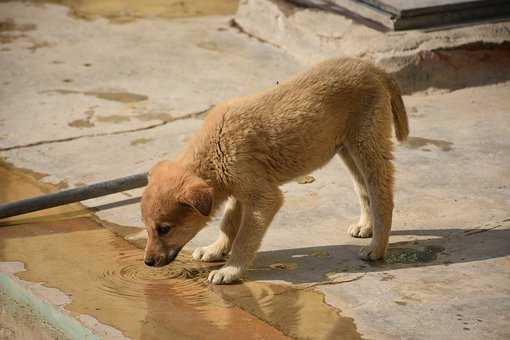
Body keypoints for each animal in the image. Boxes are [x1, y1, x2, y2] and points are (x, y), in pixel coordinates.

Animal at [141, 57, 408, 284]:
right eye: (147, 227)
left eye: (164, 229)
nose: (148, 263)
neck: (215, 151)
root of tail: (371, 67)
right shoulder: (240, 191)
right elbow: (228, 224)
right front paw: (215, 250)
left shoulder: (264, 197)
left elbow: (245, 238)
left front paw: (231, 270)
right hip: (347, 149)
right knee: (363, 189)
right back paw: (366, 226)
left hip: (368, 143)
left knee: (382, 195)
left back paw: (377, 248)